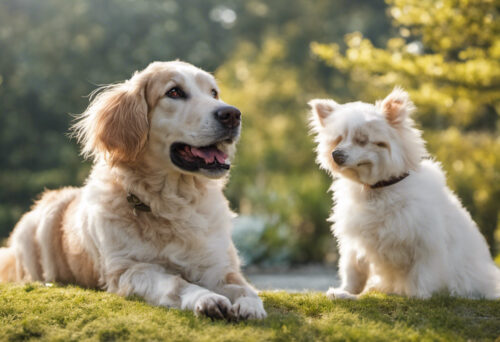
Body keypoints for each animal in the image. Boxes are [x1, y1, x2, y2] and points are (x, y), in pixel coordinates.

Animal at [310, 89, 498, 300]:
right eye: (338, 139)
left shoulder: (426, 244)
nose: (336, 154)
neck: (377, 189)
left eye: (362, 140)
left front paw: (417, 295)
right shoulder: (355, 243)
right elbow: (354, 270)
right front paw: (346, 292)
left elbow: (422, 274)